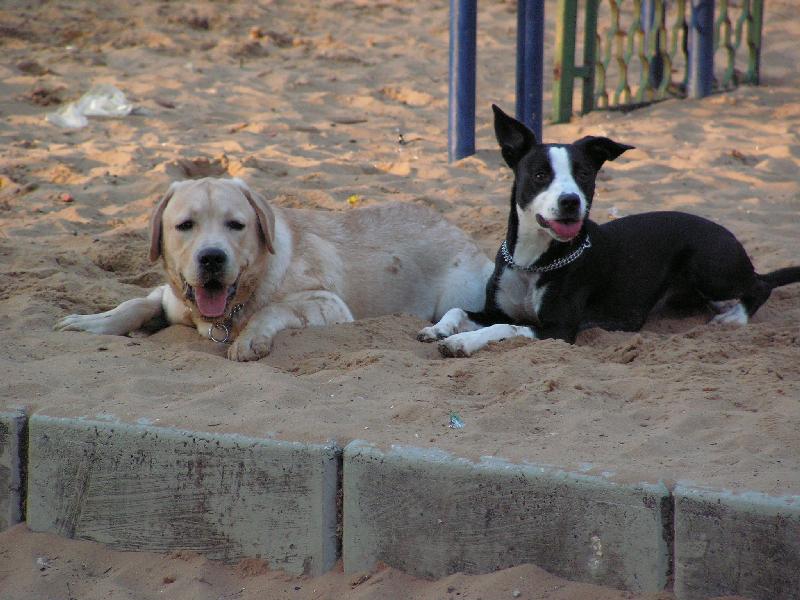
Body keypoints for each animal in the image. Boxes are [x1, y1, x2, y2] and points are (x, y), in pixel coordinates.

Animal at [56, 177, 492, 361]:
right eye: (185, 225)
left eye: (236, 224)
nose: (212, 257)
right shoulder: (170, 296)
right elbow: (135, 304)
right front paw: (91, 322)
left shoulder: (330, 305)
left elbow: (273, 309)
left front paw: (251, 338)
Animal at [418, 105, 800, 357]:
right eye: (540, 174)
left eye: (585, 174)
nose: (570, 201)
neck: (535, 260)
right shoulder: (494, 308)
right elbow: (459, 311)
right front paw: (438, 329)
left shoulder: (559, 329)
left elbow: (504, 327)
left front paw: (461, 341)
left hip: (710, 266)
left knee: (761, 285)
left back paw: (736, 317)